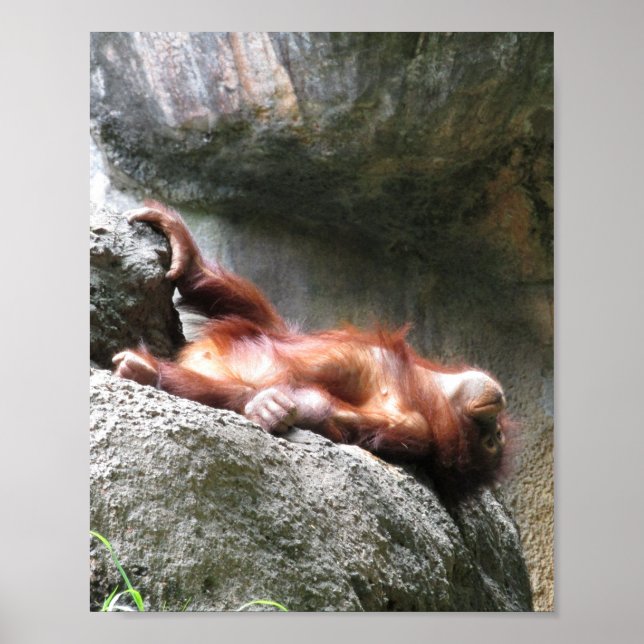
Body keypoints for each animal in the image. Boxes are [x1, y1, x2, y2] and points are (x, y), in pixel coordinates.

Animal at [113, 201, 515, 493]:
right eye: (492, 435)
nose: (496, 428)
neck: (416, 389)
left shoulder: (408, 426)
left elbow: (315, 408)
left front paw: (266, 406)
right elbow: (273, 327)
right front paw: (187, 255)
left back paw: (146, 370)